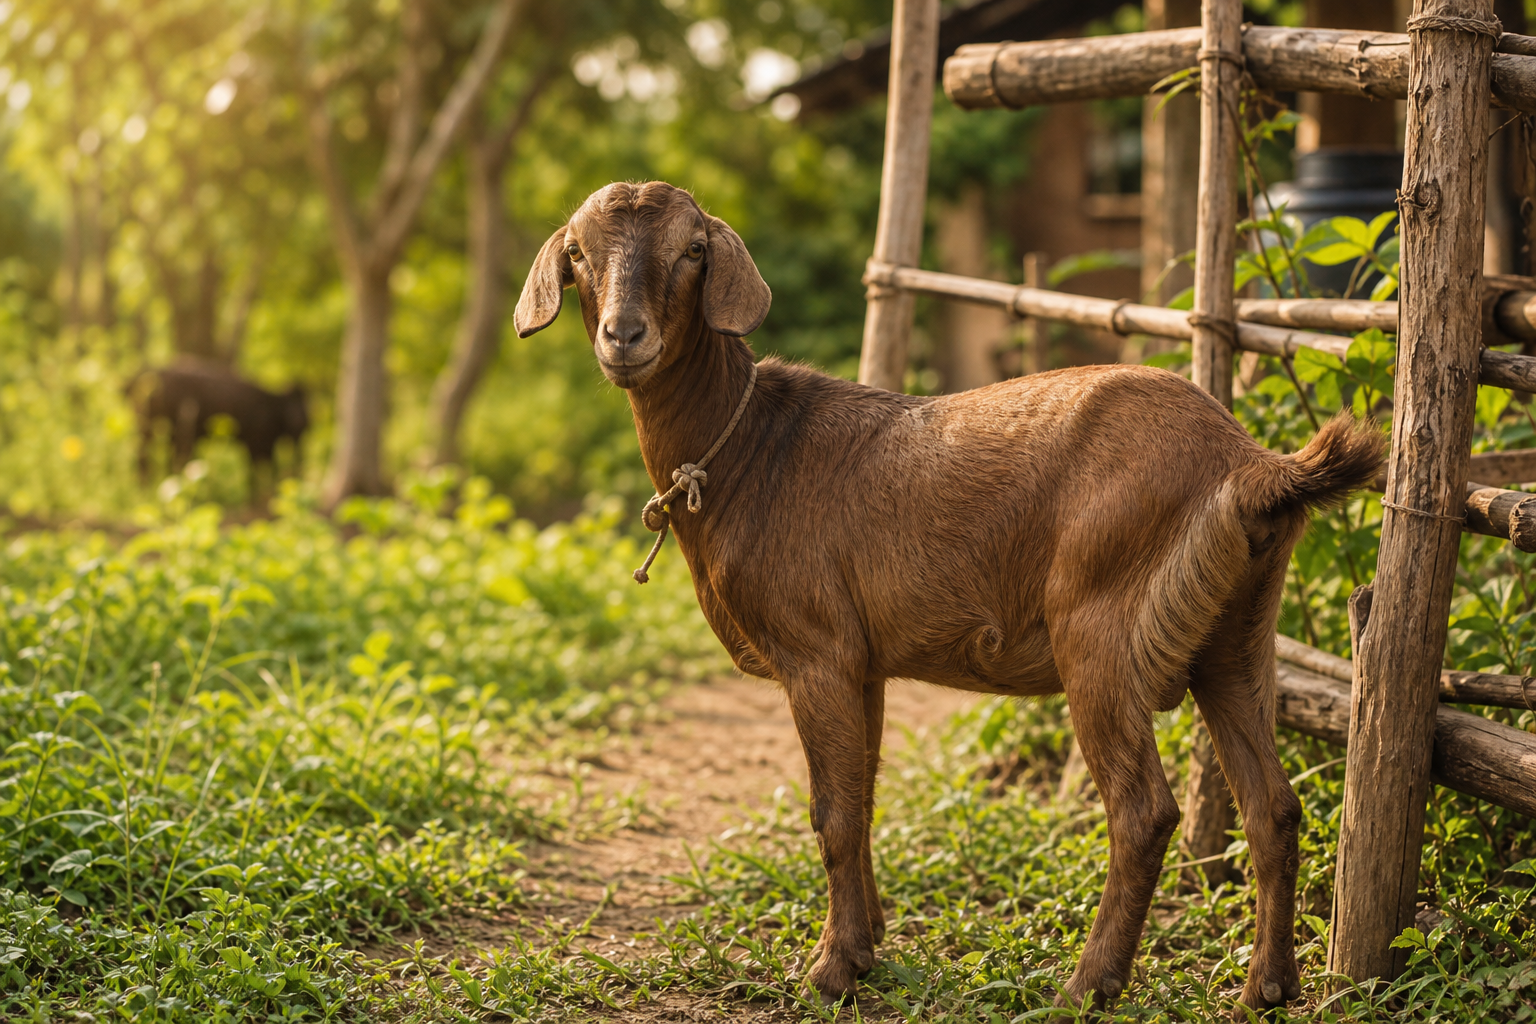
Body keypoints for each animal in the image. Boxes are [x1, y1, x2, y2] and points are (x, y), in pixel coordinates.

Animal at [128, 359, 309, 498]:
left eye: (306, 406)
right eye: (291, 407)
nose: (300, 421)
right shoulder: (255, 442)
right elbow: (255, 470)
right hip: (151, 425)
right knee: (144, 455)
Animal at [514, 181, 1383, 1011]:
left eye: (693, 249)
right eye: (579, 252)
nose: (625, 337)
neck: (751, 450)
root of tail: (1248, 465)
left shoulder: (816, 650)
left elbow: (832, 815)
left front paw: (831, 971)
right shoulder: (861, 662)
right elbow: (862, 799)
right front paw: (865, 947)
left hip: (1100, 622)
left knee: (1144, 812)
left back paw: (1087, 986)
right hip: (1238, 635)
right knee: (1273, 808)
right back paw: (1268, 988)